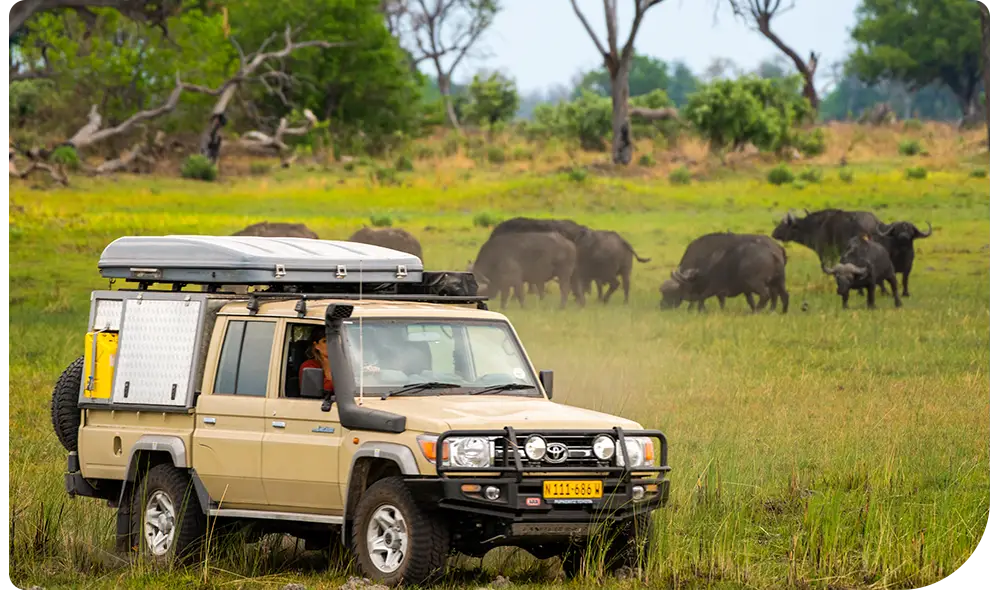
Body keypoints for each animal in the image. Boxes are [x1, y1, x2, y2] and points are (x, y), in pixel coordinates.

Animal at [660, 236, 792, 314]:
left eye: (671, 293)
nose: (661, 306)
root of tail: (773, 252)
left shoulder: (714, 288)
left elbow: (703, 298)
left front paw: (699, 310)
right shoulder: (744, 290)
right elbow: (748, 301)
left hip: (756, 282)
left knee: (766, 295)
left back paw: (757, 312)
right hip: (779, 281)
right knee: (783, 295)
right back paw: (781, 311)